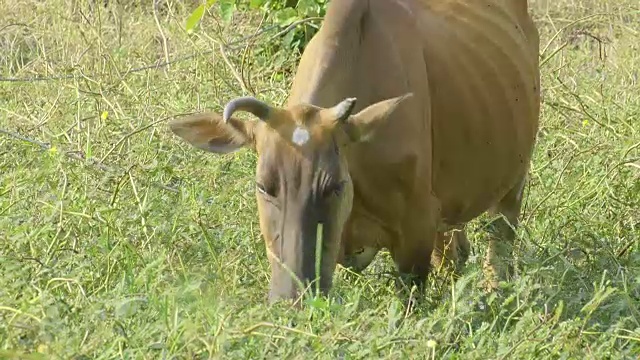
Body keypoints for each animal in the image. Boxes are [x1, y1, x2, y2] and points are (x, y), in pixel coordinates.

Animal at [170, 0, 540, 304]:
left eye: (334, 185)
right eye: (264, 186)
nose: (291, 298)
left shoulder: (417, 234)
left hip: (513, 184)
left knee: (499, 244)